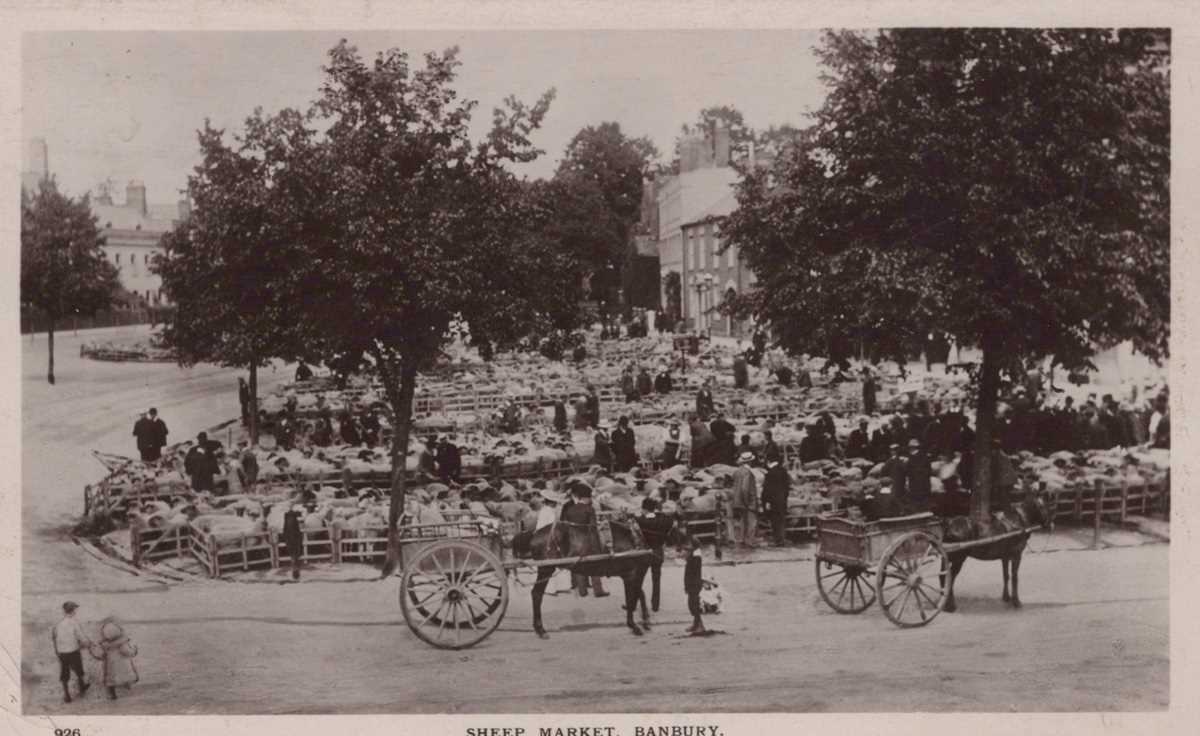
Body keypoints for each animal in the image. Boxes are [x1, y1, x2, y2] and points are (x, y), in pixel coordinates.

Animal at [516, 511, 686, 638]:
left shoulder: (631, 574)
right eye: (683, 529)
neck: (635, 535)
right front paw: (634, 625)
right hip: (546, 568)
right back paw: (540, 629)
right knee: (536, 594)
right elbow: (632, 598)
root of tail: (534, 533)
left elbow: (639, 594)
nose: (685, 548)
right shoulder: (631, 574)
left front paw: (645, 621)